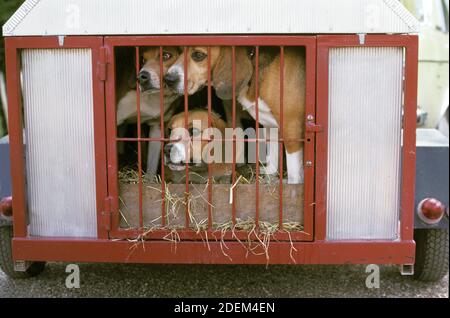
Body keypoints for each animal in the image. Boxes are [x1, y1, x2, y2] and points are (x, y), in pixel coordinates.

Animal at [117, 46, 182, 179]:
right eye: (142, 59)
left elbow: (152, 167)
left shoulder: (157, 128)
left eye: (166, 56)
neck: (151, 98)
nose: (141, 77)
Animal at [163, 45, 306, 183]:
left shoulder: (291, 127)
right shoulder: (270, 125)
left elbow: (293, 170)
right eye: (180, 50)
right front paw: (269, 174)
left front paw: (292, 186)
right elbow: (272, 154)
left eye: (198, 55)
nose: (168, 79)